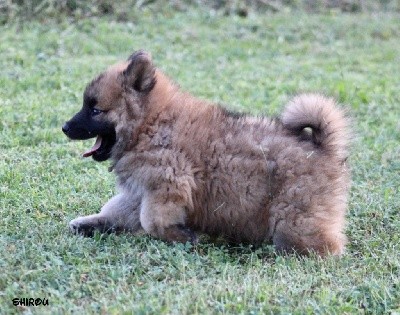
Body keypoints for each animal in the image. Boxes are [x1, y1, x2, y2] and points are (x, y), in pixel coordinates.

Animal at [62, 50, 350, 256]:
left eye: (95, 110)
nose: (64, 127)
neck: (149, 124)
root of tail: (322, 147)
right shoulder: (141, 190)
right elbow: (117, 211)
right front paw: (89, 223)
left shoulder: (168, 184)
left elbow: (150, 221)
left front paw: (183, 236)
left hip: (293, 220)